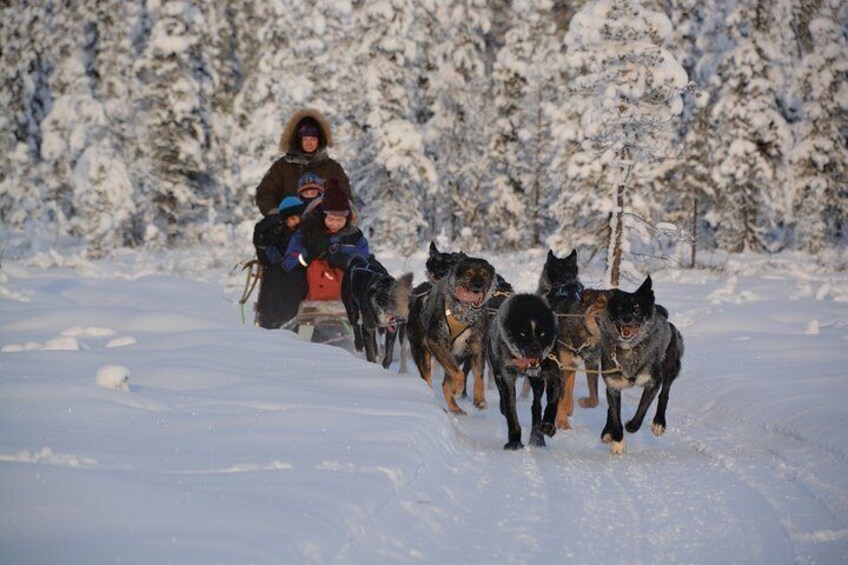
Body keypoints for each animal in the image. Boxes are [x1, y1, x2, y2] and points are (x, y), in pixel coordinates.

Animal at [406, 253, 496, 412]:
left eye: (485, 274)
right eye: (468, 274)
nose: (479, 285)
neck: (464, 313)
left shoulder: (477, 347)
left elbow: (478, 376)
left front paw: (479, 399)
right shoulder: (437, 342)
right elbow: (459, 375)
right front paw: (458, 389)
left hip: (458, 355)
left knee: (445, 383)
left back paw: (455, 408)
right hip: (424, 354)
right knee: (430, 380)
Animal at [486, 294, 560, 448]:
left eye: (542, 333)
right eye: (523, 334)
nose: (535, 350)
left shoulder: (553, 373)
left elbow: (552, 403)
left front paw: (548, 425)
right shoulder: (506, 375)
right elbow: (510, 409)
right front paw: (514, 440)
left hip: (537, 382)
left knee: (536, 406)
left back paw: (538, 438)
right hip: (497, 373)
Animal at [600, 274, 684, 454]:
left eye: (636, 308)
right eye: (619, 307)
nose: (626, 318)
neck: (630, 349)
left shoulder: (653, 383)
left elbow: (641, 410)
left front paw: (631, 426)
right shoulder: (612, 386)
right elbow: (615, 414)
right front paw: (617, 440)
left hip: (670, 367)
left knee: (665, 394)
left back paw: (659, 422)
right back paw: (607, 432)